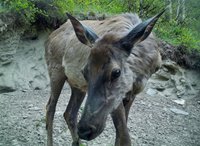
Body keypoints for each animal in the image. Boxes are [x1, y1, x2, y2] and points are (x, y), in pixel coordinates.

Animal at [45, 9, 166, 146]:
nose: (85, 130)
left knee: (69, 113)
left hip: (77, 86)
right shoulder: (118, 98)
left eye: (116, 72)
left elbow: (121, 135)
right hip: (56, 71)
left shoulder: (132, 93)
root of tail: (49, 37)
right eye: (85, 71)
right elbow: (124, 136)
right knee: (50, 108)